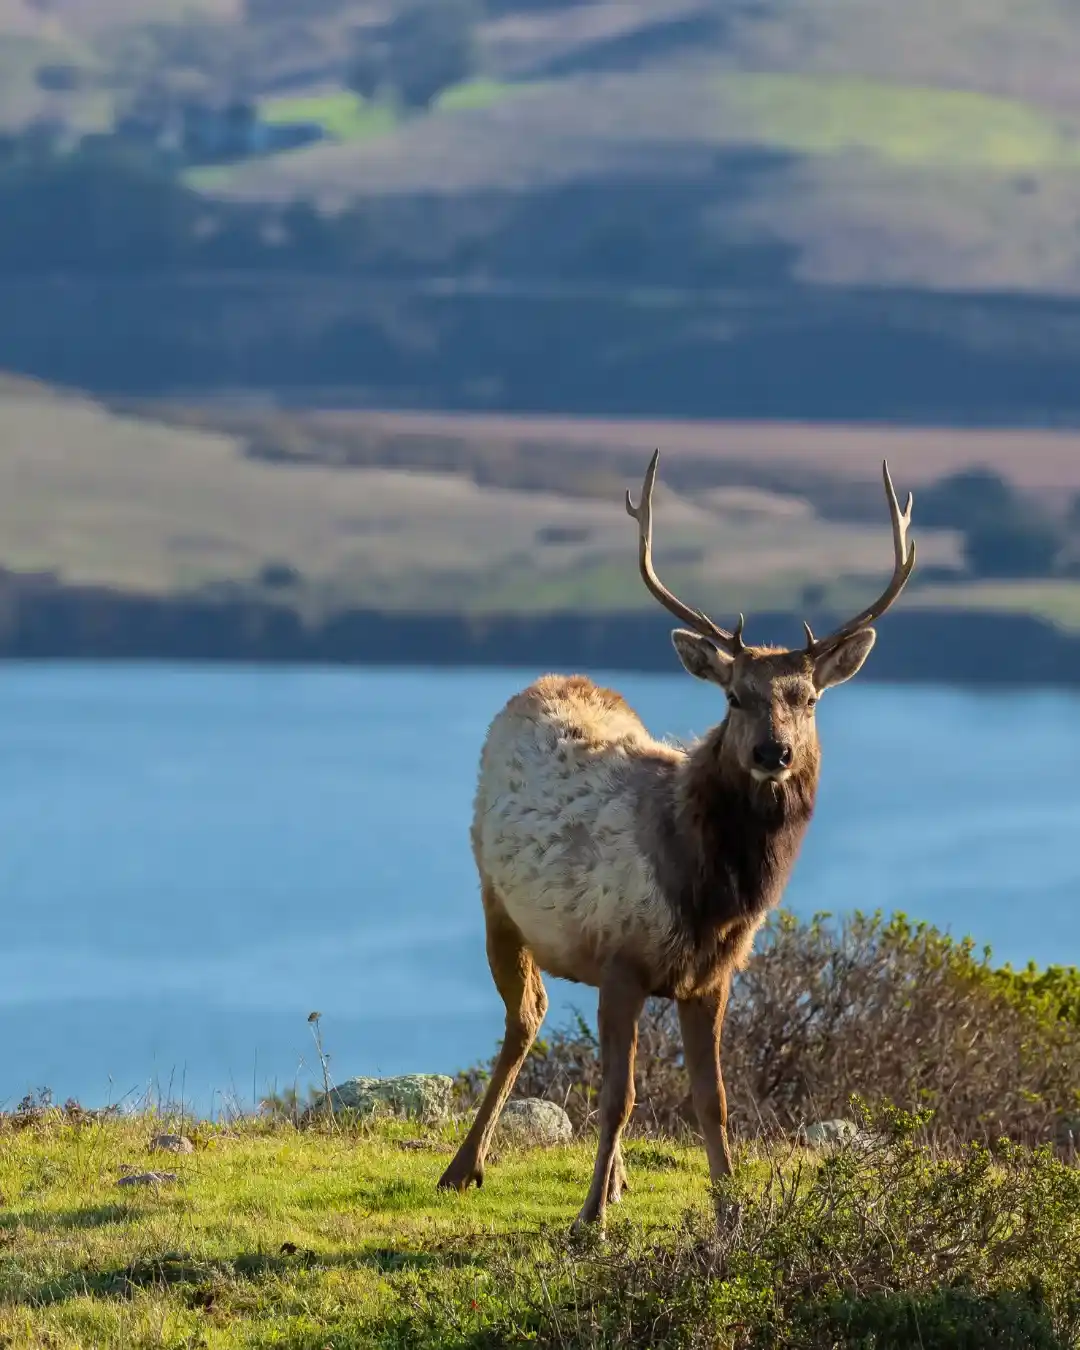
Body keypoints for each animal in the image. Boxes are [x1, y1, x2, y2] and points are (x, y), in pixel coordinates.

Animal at [434, 453, 918, 1236]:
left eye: (809, 698)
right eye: (734, 696)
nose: (775, 753)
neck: (712, 894)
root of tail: (548, 681)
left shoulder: (712, 977)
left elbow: (710, 1101)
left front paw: (731, 1214)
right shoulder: (622, 959)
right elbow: (618, 1096)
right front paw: (588, 1219)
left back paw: (614, 1178)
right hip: (495, 899)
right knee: (525, 1019)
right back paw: (464, 1166)